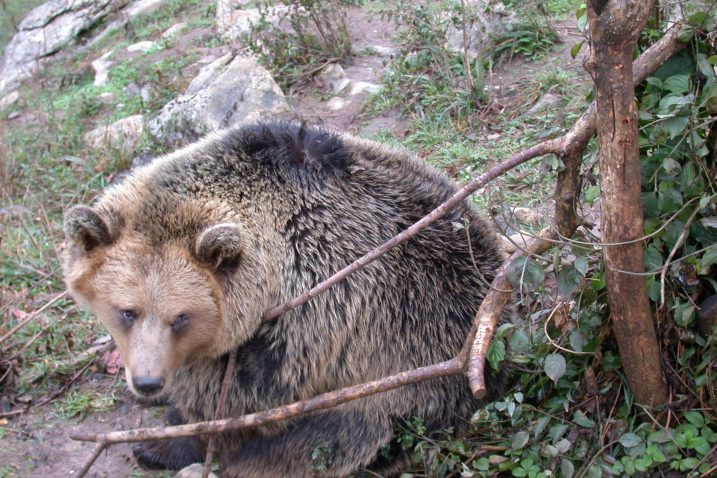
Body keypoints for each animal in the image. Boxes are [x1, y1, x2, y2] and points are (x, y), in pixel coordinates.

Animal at [63, 121, 510, 476]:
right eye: (127, 312)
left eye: (181, 317)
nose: (148, 382)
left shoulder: (316, 302)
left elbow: (242, 397)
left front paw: (164, 440)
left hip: (411, 378)